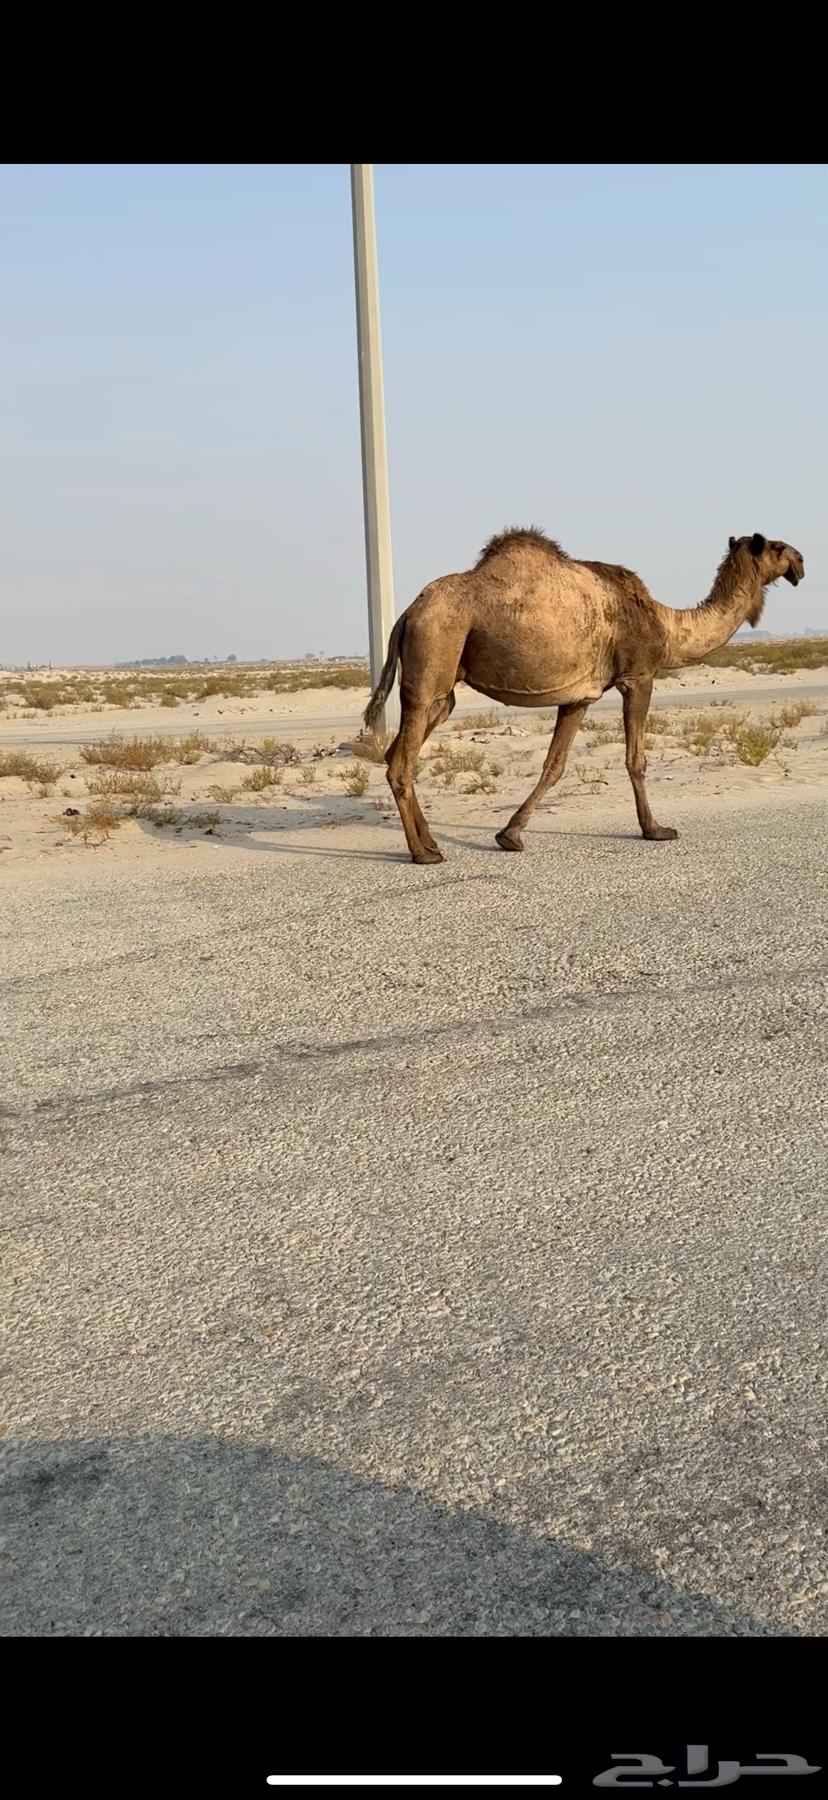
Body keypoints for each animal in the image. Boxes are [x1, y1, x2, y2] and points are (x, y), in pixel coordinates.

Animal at [364, 528, 805, 864]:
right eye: (777, 547)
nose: (801, 561)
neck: (666, 625)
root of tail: (408, 612)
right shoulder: (638, 676)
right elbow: (636, 760)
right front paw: (655, 829)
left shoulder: (579, 697)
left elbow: (554, 765)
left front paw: (510, 834)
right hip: (435, 652)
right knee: (401, 761)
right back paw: (422, 853)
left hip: (444, 685)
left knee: (399, 750)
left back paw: (431, 841)